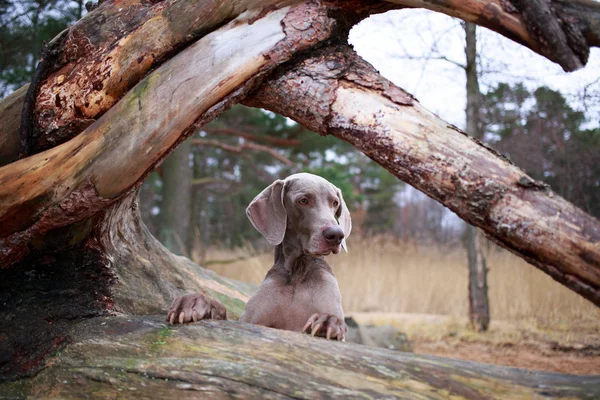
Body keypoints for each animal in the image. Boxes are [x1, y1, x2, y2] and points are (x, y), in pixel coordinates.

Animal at [165, 173, 352, 340]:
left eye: (335, 203)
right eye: (303, 200)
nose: (336, 235)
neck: (297, 272)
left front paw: (328, 321)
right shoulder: (250, 323)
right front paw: (194, 302)